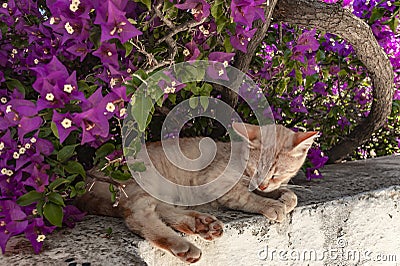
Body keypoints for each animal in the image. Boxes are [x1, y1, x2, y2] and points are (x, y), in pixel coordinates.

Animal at [76, 123, 318, 264]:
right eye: (255, 169)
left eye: (276, 174)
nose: (263, 185)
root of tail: (87, 175)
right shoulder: (214, 183)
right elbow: (246, 197)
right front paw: (272, 205)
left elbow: (284, 193)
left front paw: (284, 196)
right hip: (143, 186)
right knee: (139, 217)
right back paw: (183, 246)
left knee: (161, 210)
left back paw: (201, 224)